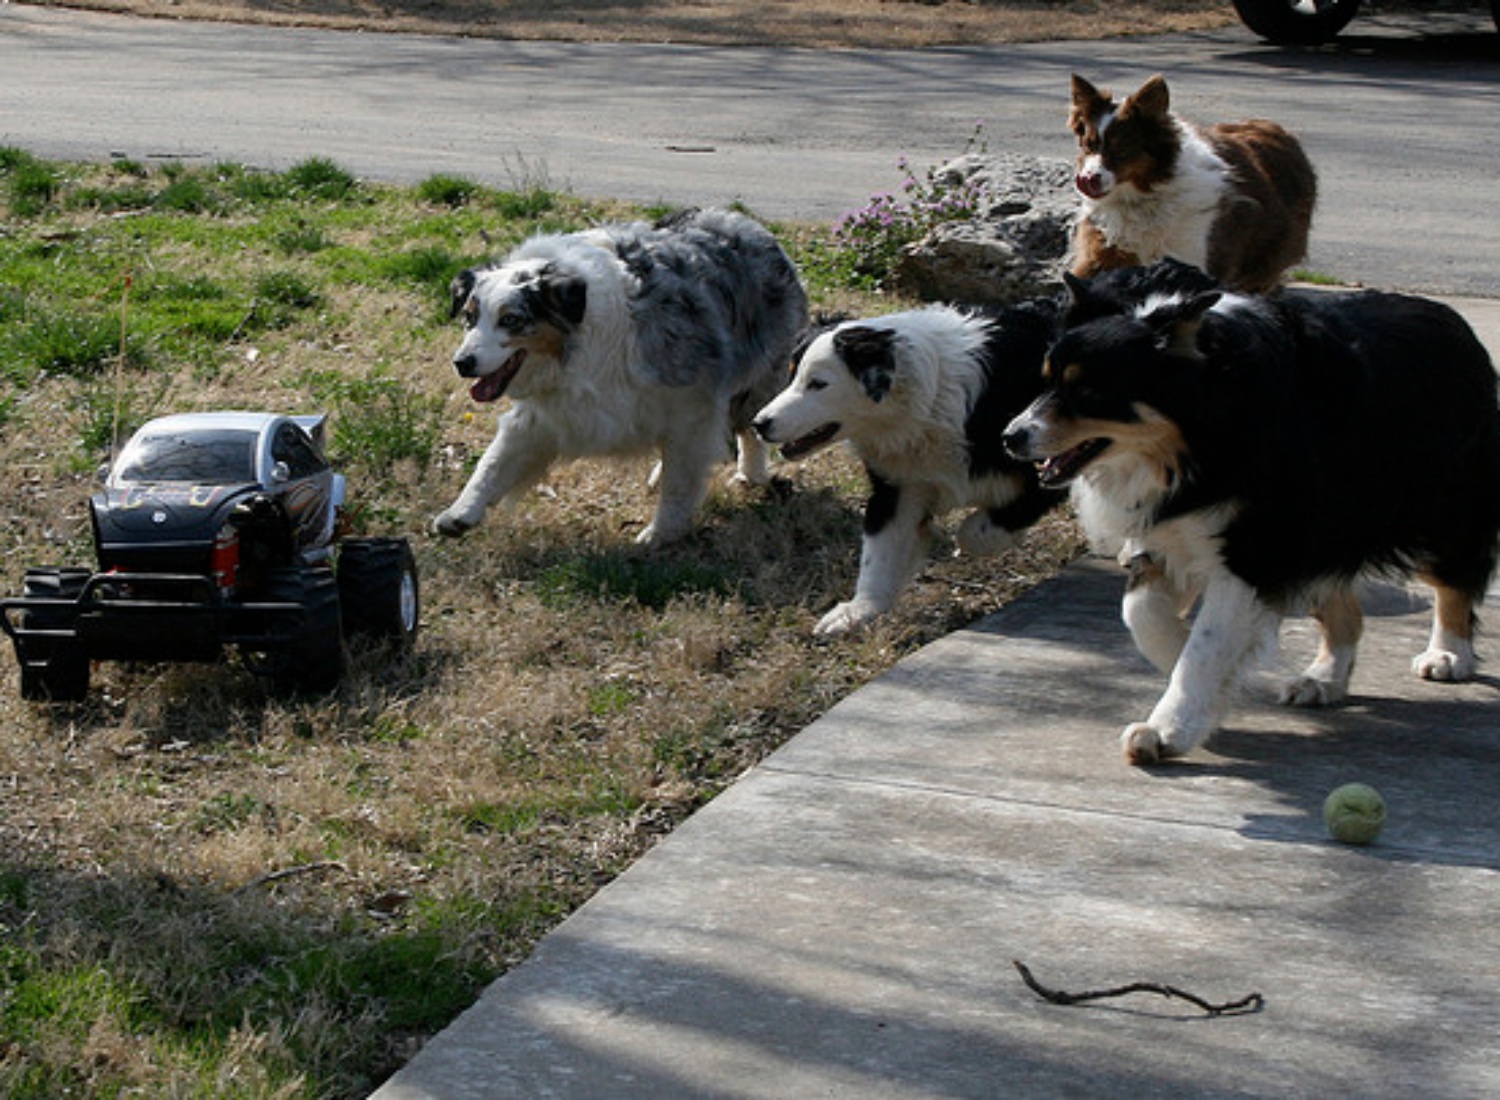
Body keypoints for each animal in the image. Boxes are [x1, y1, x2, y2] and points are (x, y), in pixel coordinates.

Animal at [438, 205, 810, 546]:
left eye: (511, 320)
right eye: (469, 317)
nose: (462, 362)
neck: (581, 328)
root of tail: (752, 226)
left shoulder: (693, 406)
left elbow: (681, 481)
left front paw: (660, 533)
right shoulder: (547, 416)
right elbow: (495, 460)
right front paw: (461, 512)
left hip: (759, 376)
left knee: (749, 427)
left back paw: (751, 472)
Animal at [756, 303, 1062, 636]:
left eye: (818, 384)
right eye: (791, 375)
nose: (760, 423)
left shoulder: (1049, 467)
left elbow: (974, 532)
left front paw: (995, 537)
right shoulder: (900, 485)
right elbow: (879, 552)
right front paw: (858, 610)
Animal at [1002, 264, 1500, 762]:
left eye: (1088, 390)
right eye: (1046, 381)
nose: (1010, 437)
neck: (1198, 432)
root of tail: (1455, 325)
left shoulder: (1255, 545)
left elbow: (1207, 643)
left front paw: (1169, 727)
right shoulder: (1174, 531)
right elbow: (1142, 611)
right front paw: (1196, 671)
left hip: (1433, 510)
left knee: (1455, 578)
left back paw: (1448, 655)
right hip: (1323, 529)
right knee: (1343, 606)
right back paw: (1323, 680)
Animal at [1068, 72, 1314, 295]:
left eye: (1122, 149)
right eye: (1088, 144)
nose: (1085, 180)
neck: (1144, 197)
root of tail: (1283, 132)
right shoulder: (1102, 255)